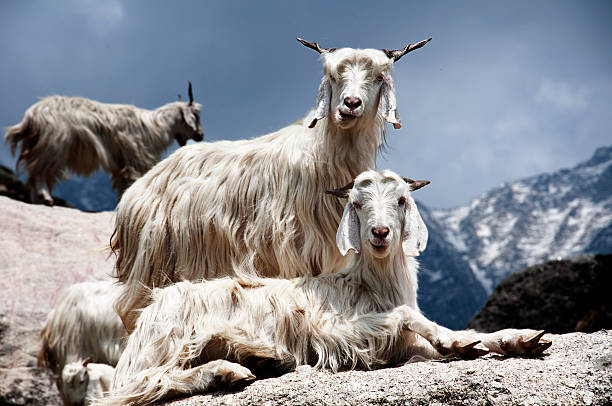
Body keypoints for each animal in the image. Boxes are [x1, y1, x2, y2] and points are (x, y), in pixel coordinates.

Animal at [3, 81, 203, 206]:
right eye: (196, 115)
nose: (200, 135)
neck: (155, 125)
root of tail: (31, 116)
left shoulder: (121, 165)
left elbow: (123, 186)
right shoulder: (136, 159)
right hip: (52, 146)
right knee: (39, 171)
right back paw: (46, 198)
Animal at [100, 170, 548, 406]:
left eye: (402, 200)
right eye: (357, 204)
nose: (380, 234)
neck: (370, 284)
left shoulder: (397, 346)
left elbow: (458, 333)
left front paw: (520, 339)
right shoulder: (334, 333)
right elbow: (410, 318)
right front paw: (458, 343)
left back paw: (257, 361)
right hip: (167, 339)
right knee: (137, 385)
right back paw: (232, 369)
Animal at [111, 36, 436, 332]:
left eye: (379, 77)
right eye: (332, 76)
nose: (350, 105)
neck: (322, 156)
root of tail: (134, 194)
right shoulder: (294, 253)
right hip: (152, 264)